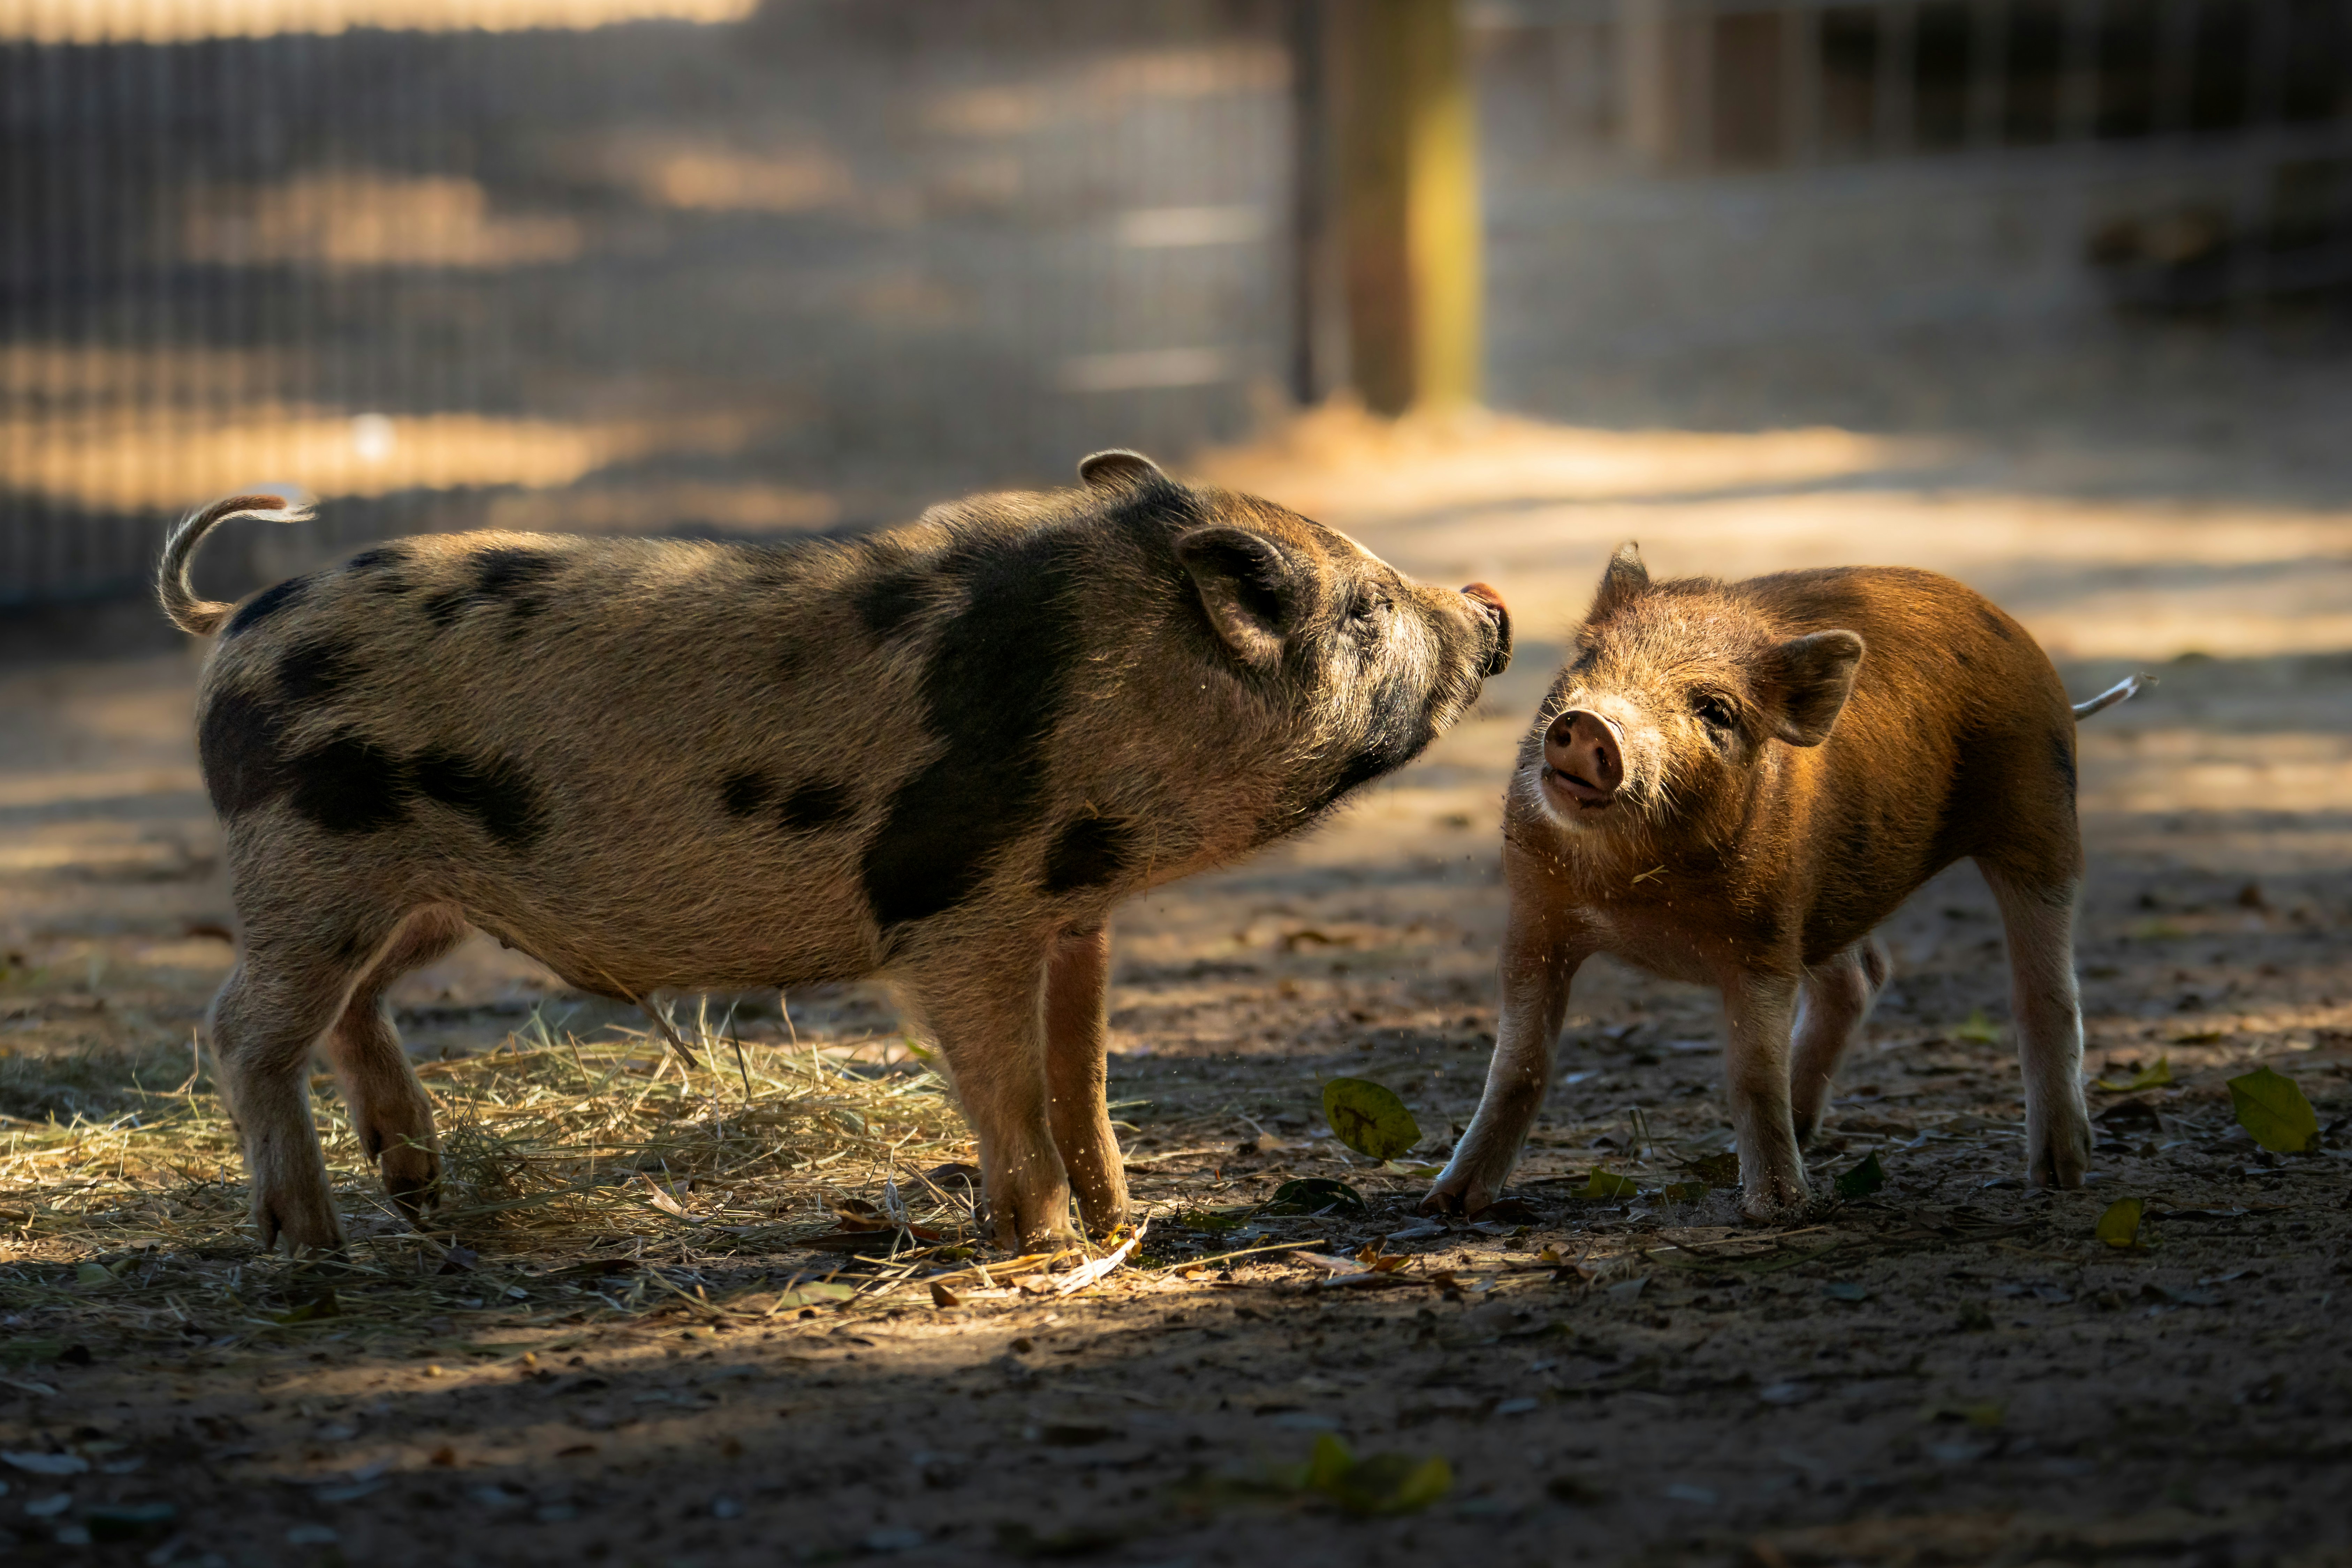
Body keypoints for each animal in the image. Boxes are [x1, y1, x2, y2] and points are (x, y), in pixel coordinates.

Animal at [158, 452, 1511, 1254]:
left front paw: (1126, 1218)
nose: (1489, 609)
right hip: (311, 863)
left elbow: (1081, 1069)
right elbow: (1004, 1079)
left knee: (350, 1008)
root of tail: (232, 625)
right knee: (238, 1025)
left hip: (418, 896)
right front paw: (1044, 1242)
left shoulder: (1075, 911)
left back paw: (418, 1188)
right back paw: (310, 1249)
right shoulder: (960, 908)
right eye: (1364, 611)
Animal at [1422, 544, 2139, 1222]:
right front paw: (1447, 1204)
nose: (1592, 724)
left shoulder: (1763, 940)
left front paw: (1779, 1211)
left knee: (2044, 992)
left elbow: (1751, 1073)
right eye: (1590, 658)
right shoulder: (1533, 915)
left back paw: (2058, 1176)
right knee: (1863, 977)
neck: (1630, 894)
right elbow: (1519, 1065)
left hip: (2042, 820)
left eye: (1715, 710)